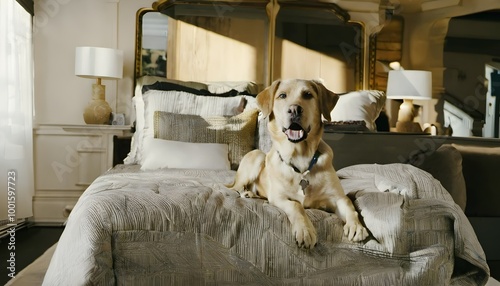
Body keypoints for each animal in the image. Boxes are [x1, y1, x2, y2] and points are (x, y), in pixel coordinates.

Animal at [229, 79, 368, 248]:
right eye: (282, 95)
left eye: (308, 94)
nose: (294, 110)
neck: (299, 157)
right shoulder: (279, 198)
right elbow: (296, 205)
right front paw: (305, 231)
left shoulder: (337, 197)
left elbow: (349, 204)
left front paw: (356, 226)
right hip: (257, 156)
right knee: (236, 187)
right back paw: (247, 193)